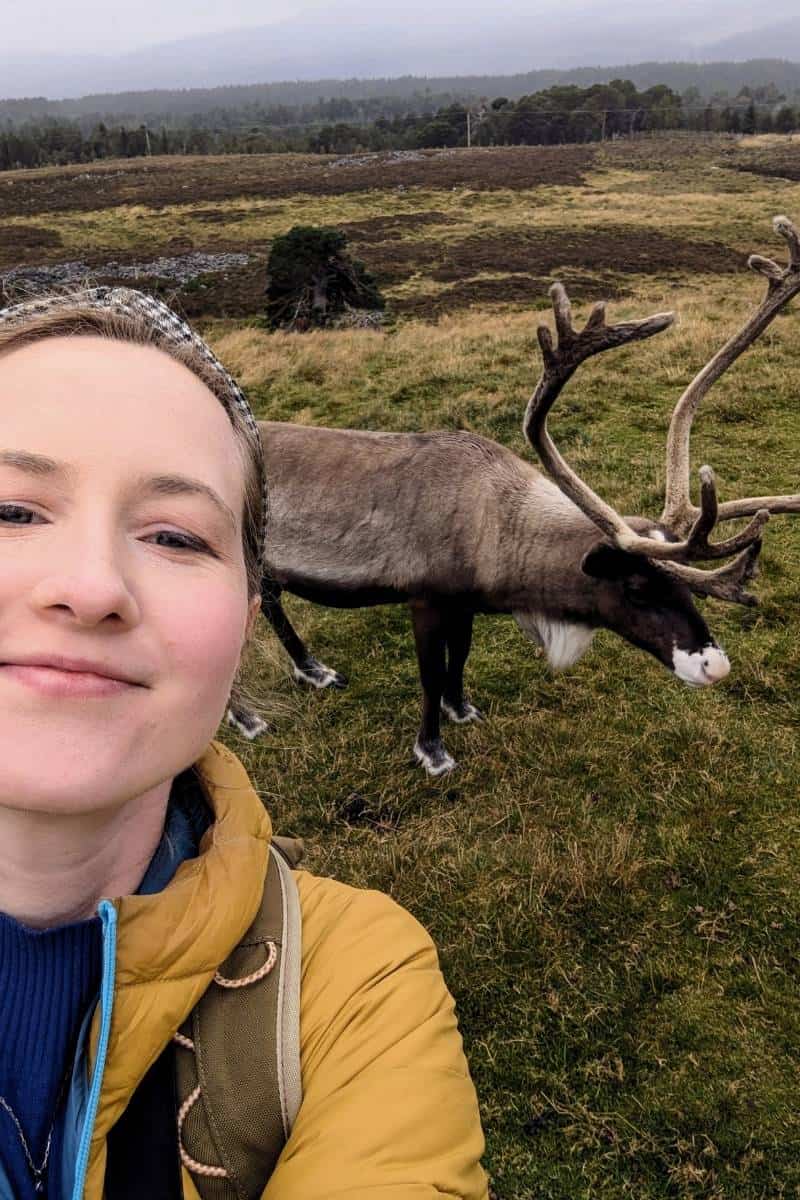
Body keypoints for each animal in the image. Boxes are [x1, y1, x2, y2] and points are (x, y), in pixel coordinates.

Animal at [229, 215, 800, 776]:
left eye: (688, 587)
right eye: (636, 588)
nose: (715, 665)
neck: (496, 529)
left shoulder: (464, 602)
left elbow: (459, 658)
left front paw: (461, 708)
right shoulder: (425, 596)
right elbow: (430, 675)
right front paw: (432, 749)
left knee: (271, 603)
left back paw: (314, 670)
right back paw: (248, 717)